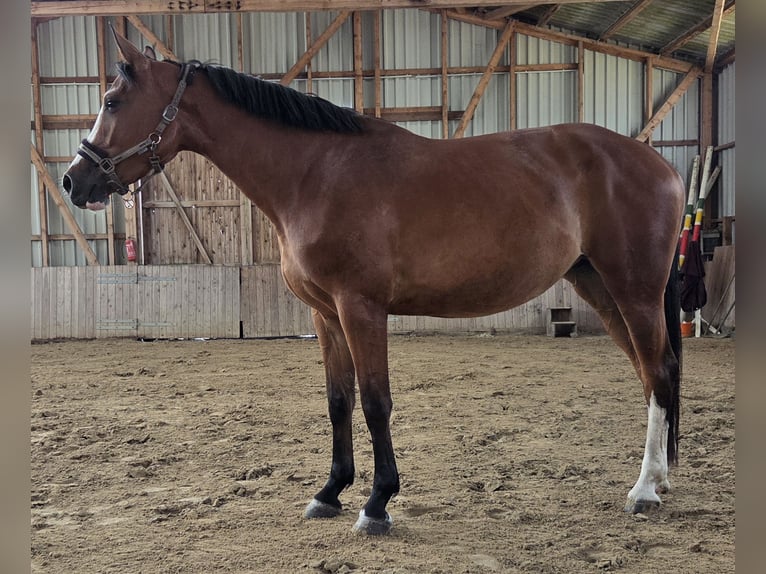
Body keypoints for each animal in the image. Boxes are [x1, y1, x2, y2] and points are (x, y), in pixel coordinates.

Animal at [63, 31, 684, 536]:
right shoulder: (325, 313)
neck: (316, 173)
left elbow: (374, 401)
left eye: (112, 101)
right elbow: (338, 400)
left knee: (656, 373)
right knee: (654, 374)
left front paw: (378, 502)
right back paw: (661, 478)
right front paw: (330, 492)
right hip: (598, 287)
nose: (74, 180)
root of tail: (663, 166)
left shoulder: (361, 308)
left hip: (634, 291)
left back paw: (644, 490)